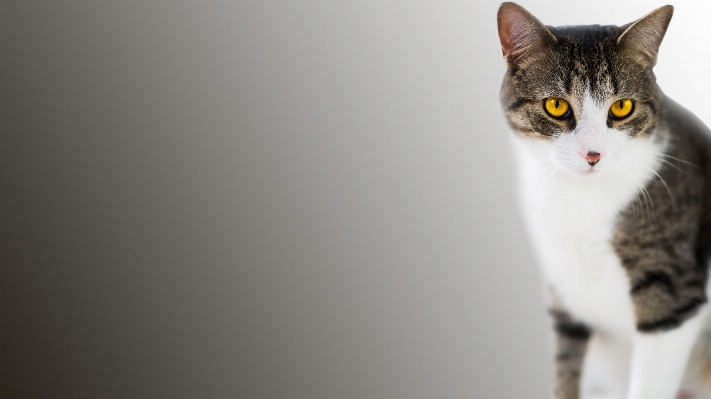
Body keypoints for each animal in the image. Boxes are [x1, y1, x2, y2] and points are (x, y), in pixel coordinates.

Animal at [498, 3, 711, 399]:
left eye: (622, 106)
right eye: (556, 105)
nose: (592, 154)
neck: (582, 200)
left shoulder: (674, 297)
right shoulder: (563, 288)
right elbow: (564, 367)